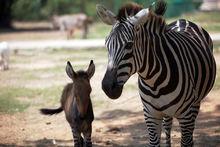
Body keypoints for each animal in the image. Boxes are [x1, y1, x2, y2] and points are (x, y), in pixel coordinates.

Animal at [96, 0, 217, 146]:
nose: (107, 87)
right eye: (106, 44)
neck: (154, 82)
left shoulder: (186, 115)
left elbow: (186, 141)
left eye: (129, 45)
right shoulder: (150, 115)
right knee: (168, 125)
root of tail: (183, 20)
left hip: (195, 104)